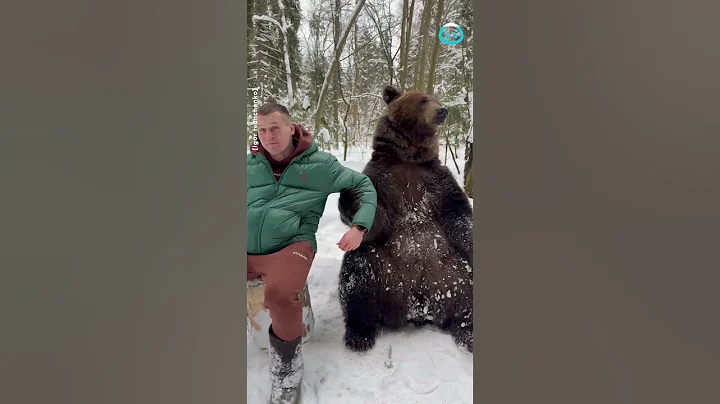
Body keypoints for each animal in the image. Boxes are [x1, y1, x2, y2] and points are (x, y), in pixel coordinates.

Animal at [337, 85, 474, 353]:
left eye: (435, 98)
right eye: (423, 100)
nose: (442, 110)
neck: (409, 159)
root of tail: (419, 307)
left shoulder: (437, 181)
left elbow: (458, 215)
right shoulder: (383, 180)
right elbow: (376, 219)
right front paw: (350, 195)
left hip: (455, 273)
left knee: (468, 298)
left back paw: (468, 331)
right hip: (387, 277)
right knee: (359, 272)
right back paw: (359, 334)